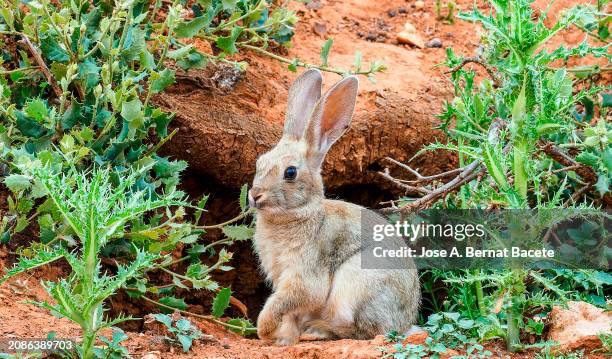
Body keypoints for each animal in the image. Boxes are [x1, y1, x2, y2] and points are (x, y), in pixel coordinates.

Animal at [249, 69, 420, 348]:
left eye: (290, 172)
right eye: (260, 162)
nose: (254, 196)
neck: (300, 212)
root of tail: (405, 324)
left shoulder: (304, 275)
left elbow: (287, 300)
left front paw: (264, 330)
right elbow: (289, 314)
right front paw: (283, 340)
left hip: (356, 285)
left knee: (364, 331)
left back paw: (317, 331)